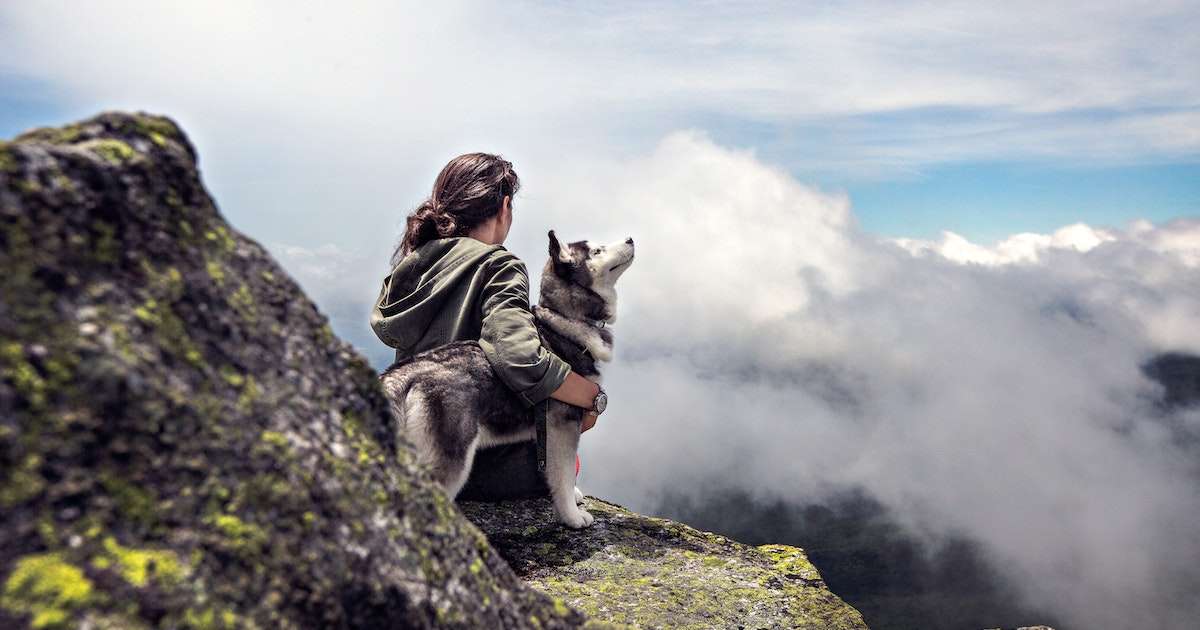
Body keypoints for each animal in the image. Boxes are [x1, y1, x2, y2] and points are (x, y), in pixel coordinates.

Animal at [379, 230, 633, 525]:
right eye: (596, 251)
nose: (630, 239)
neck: (564, 321)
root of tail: (402, 374)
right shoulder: (563, 424)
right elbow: (564, 473)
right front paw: (571, 516)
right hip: (451, 457)